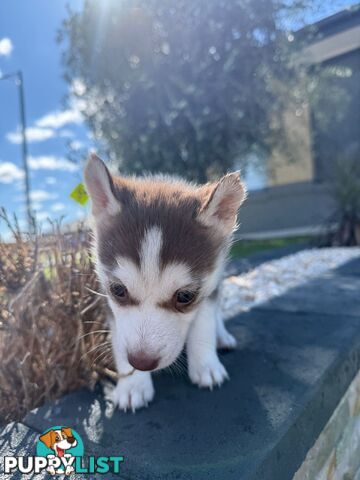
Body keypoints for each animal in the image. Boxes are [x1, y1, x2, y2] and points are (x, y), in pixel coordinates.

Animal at [84, 154, 248, 412]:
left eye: (185, 296)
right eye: (118, 290)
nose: (141, 362)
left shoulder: (208, 288)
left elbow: (203, 325)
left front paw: (206, 365)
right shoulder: (107, 297)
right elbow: (119, 340)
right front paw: (132, 384)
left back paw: (222, 336)